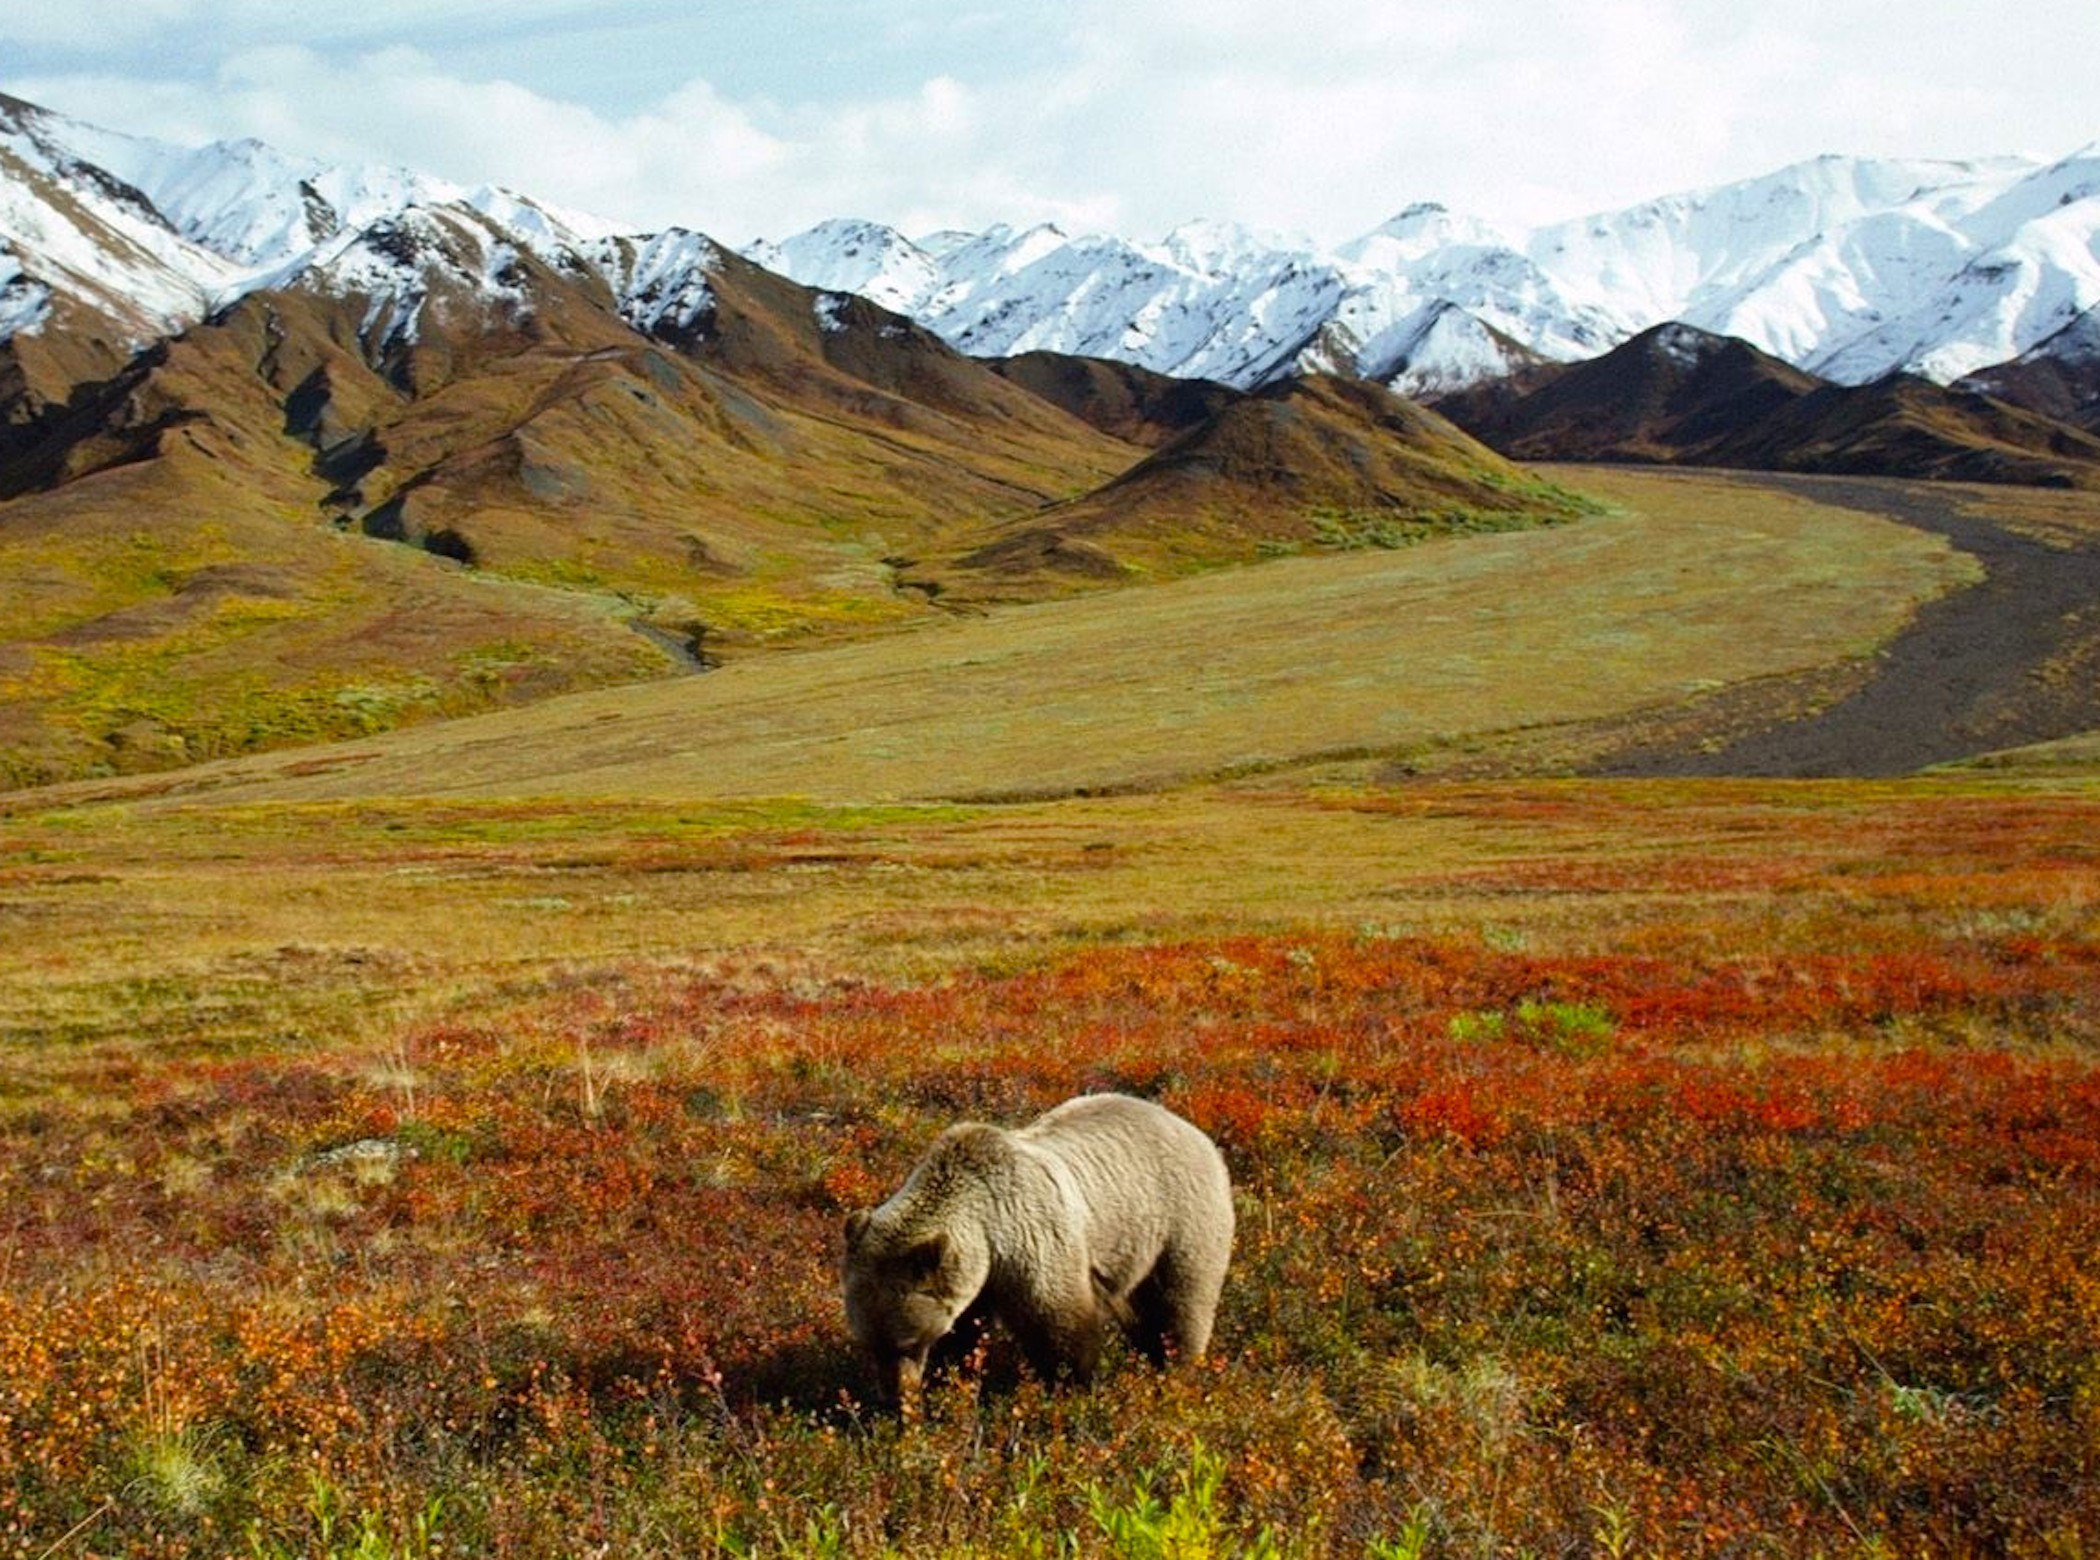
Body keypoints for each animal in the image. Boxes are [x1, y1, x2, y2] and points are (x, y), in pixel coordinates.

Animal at [841, 1092, 1235, 1408]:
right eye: (869, 1343)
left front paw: (1070, 1387)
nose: (893, 1396)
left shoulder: (1032, 1239)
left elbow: (1060, 1325)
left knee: (1181, 1302)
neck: (988, 1233)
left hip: (1181, 1221)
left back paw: (1176, 1370)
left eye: (907, 1342)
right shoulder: (974, 1279)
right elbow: (964, 1334)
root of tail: (1195, 1131)